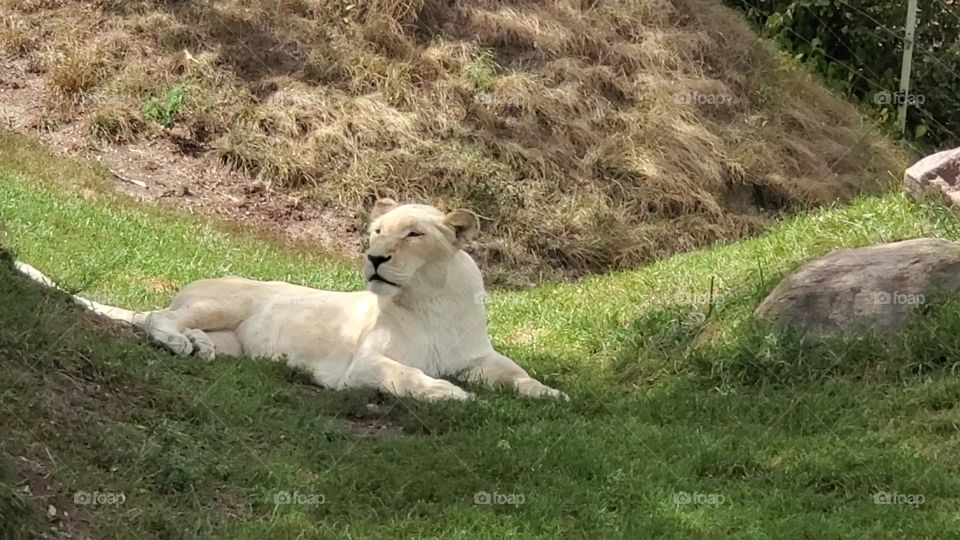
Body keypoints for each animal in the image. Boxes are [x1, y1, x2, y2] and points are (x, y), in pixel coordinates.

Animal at [16, 198, 566, 401]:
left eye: (413, 234)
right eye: (376, 231)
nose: (374, 257)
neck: (429, 299)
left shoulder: (476, 356)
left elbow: (515, 372)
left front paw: (549, 393)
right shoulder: (363, 367)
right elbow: (405, 375)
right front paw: (449, 394)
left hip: (236, 341)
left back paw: (200, 347)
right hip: (228, 300)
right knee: (154, 315)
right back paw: (180, 344)